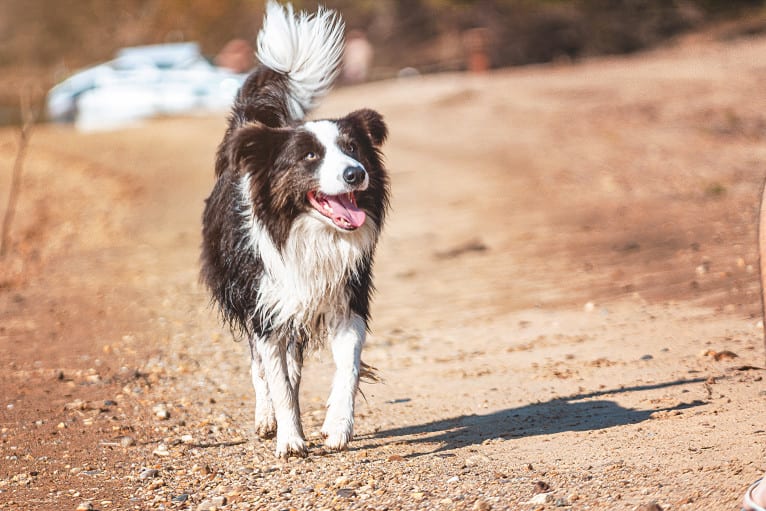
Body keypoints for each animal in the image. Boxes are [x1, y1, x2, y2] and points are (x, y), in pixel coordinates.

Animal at [201, 1, 390, 460]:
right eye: (309, 157)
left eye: (353, 149)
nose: (356, 174)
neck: (307, 235)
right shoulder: (265, 306)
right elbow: (275, 378)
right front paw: (289, 438)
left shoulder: (346, 298)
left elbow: (348, 368)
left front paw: (337, 426)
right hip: (248, 299)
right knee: (261, 366)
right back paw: (267, 419)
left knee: (293, 365)